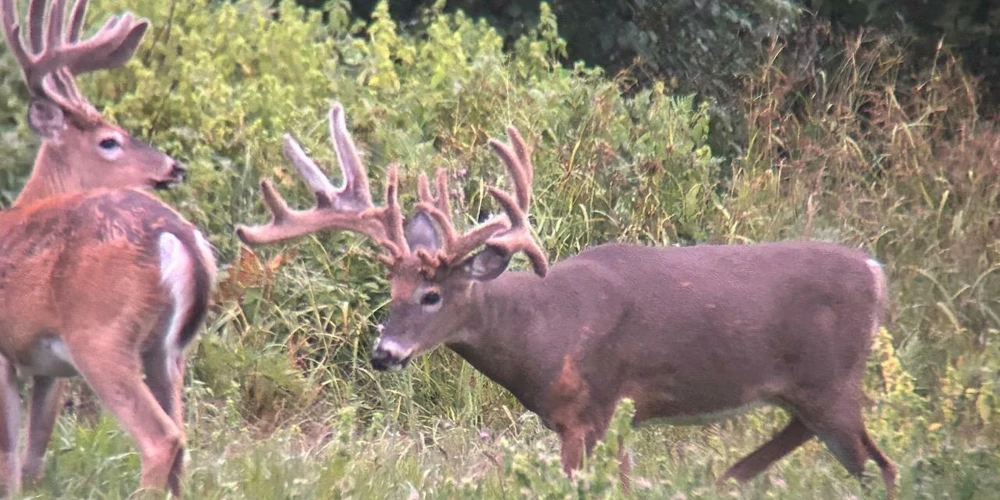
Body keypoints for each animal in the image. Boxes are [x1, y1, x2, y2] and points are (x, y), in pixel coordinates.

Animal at [0, 0, 216, 496]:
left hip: (100, 334)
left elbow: (8, 454)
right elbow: (32, 456)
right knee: (182, 439)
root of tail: (176, 234)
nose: (175, 167)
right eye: (110, 140)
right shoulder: (45, 366)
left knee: (161, 438)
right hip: (168, 351)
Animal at [235, 102, 897, 499]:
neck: (543, 329)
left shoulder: (591, 408)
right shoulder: (606, 416)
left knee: (878, 465)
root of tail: (875, 272)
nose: (384, 353)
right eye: (391, 290)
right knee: (817, 440)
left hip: (833, 380)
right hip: (808, 388)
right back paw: (726, 477)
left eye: (431, 294)